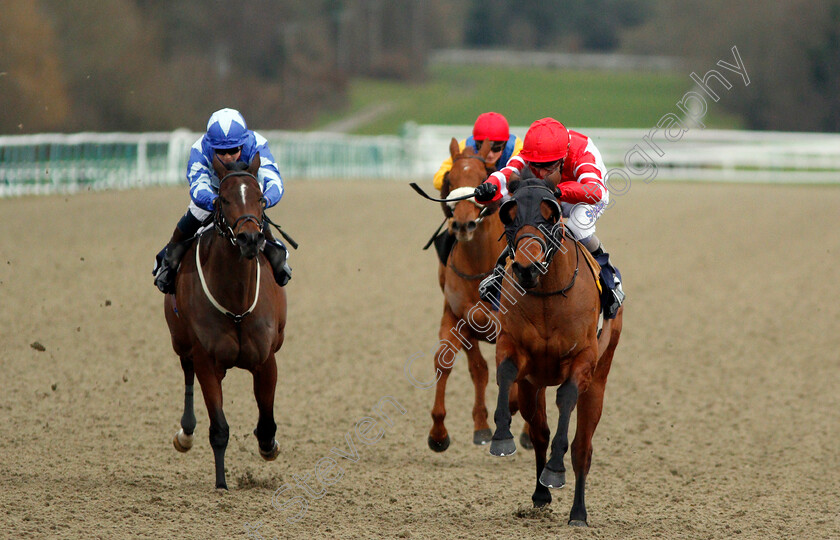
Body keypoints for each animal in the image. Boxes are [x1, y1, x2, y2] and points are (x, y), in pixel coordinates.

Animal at [162, 155, 288, 490]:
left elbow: (267, 422)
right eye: (224, 199)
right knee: (187, 371)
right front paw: (221, 483)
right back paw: (185, 433)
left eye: (260, 198)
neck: (236, 302)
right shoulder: (207, 360)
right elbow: (219, 428)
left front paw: (268, 446)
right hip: (181, 341)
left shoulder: (265, 359)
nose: (250, 238)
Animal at [426, 138, 506, 452]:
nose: (463, 224)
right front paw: (438, 433)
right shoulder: (457, 316)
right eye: (451, 180)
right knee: (480, 369)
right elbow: (445, 361)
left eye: (484, 179)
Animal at [486, 179, 624, 524]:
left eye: (550, 217)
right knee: (539, 433)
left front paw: (555, 470)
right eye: (509, 217)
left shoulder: (583, 360)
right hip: (533, 386)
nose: (526, 268)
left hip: (599, 380)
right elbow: (505, 373)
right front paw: (501, 436)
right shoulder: (515, 349)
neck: (547, 296)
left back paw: (578, 512)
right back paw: (539, 494)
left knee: (583, 448)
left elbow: (566, 398)